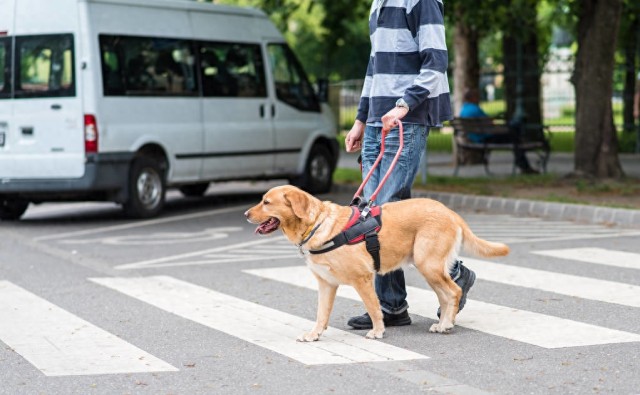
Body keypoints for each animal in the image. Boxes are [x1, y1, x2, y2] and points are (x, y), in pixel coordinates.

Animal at [245, 187, 510, 342]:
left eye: (266, 202)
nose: (246, 214)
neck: (317, 224)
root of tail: (450, 212)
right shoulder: (326, 285)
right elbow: (321, 314)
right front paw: (314, 334)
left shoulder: (363, 279)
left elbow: (373, 308)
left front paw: (378, 331)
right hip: (428, 268)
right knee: (445, 296)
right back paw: (444, 323)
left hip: (429, 265)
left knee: (453, 291)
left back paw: (446, 324)